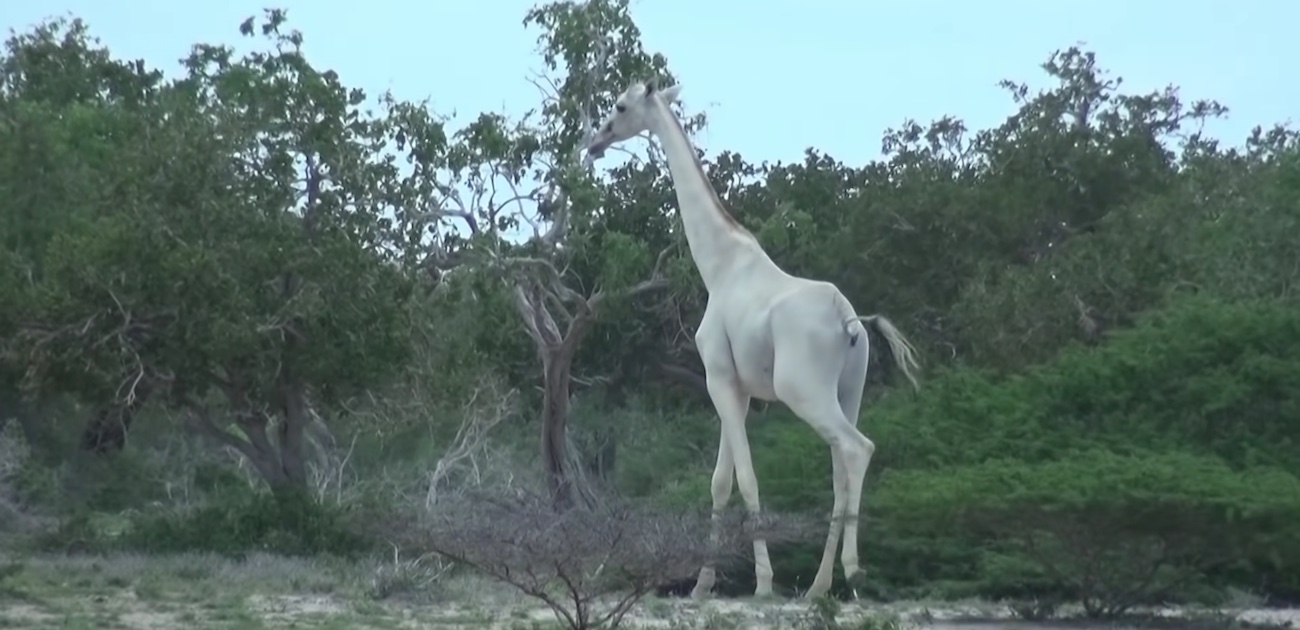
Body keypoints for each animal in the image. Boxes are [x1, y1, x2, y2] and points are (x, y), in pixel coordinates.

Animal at [590, 79, 925, 600]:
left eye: (621, 107)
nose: (595, 141)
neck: (719, 266)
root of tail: (850, 322)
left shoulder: (718, 378)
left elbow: (745, 478)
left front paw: (762, 583)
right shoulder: (739, 387)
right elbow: (720, 481)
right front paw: (703, 584)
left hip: (803, 390)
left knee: (857, 450)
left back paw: (852, 573)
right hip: (849, 390)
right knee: (841, 470)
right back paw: (819, 586)